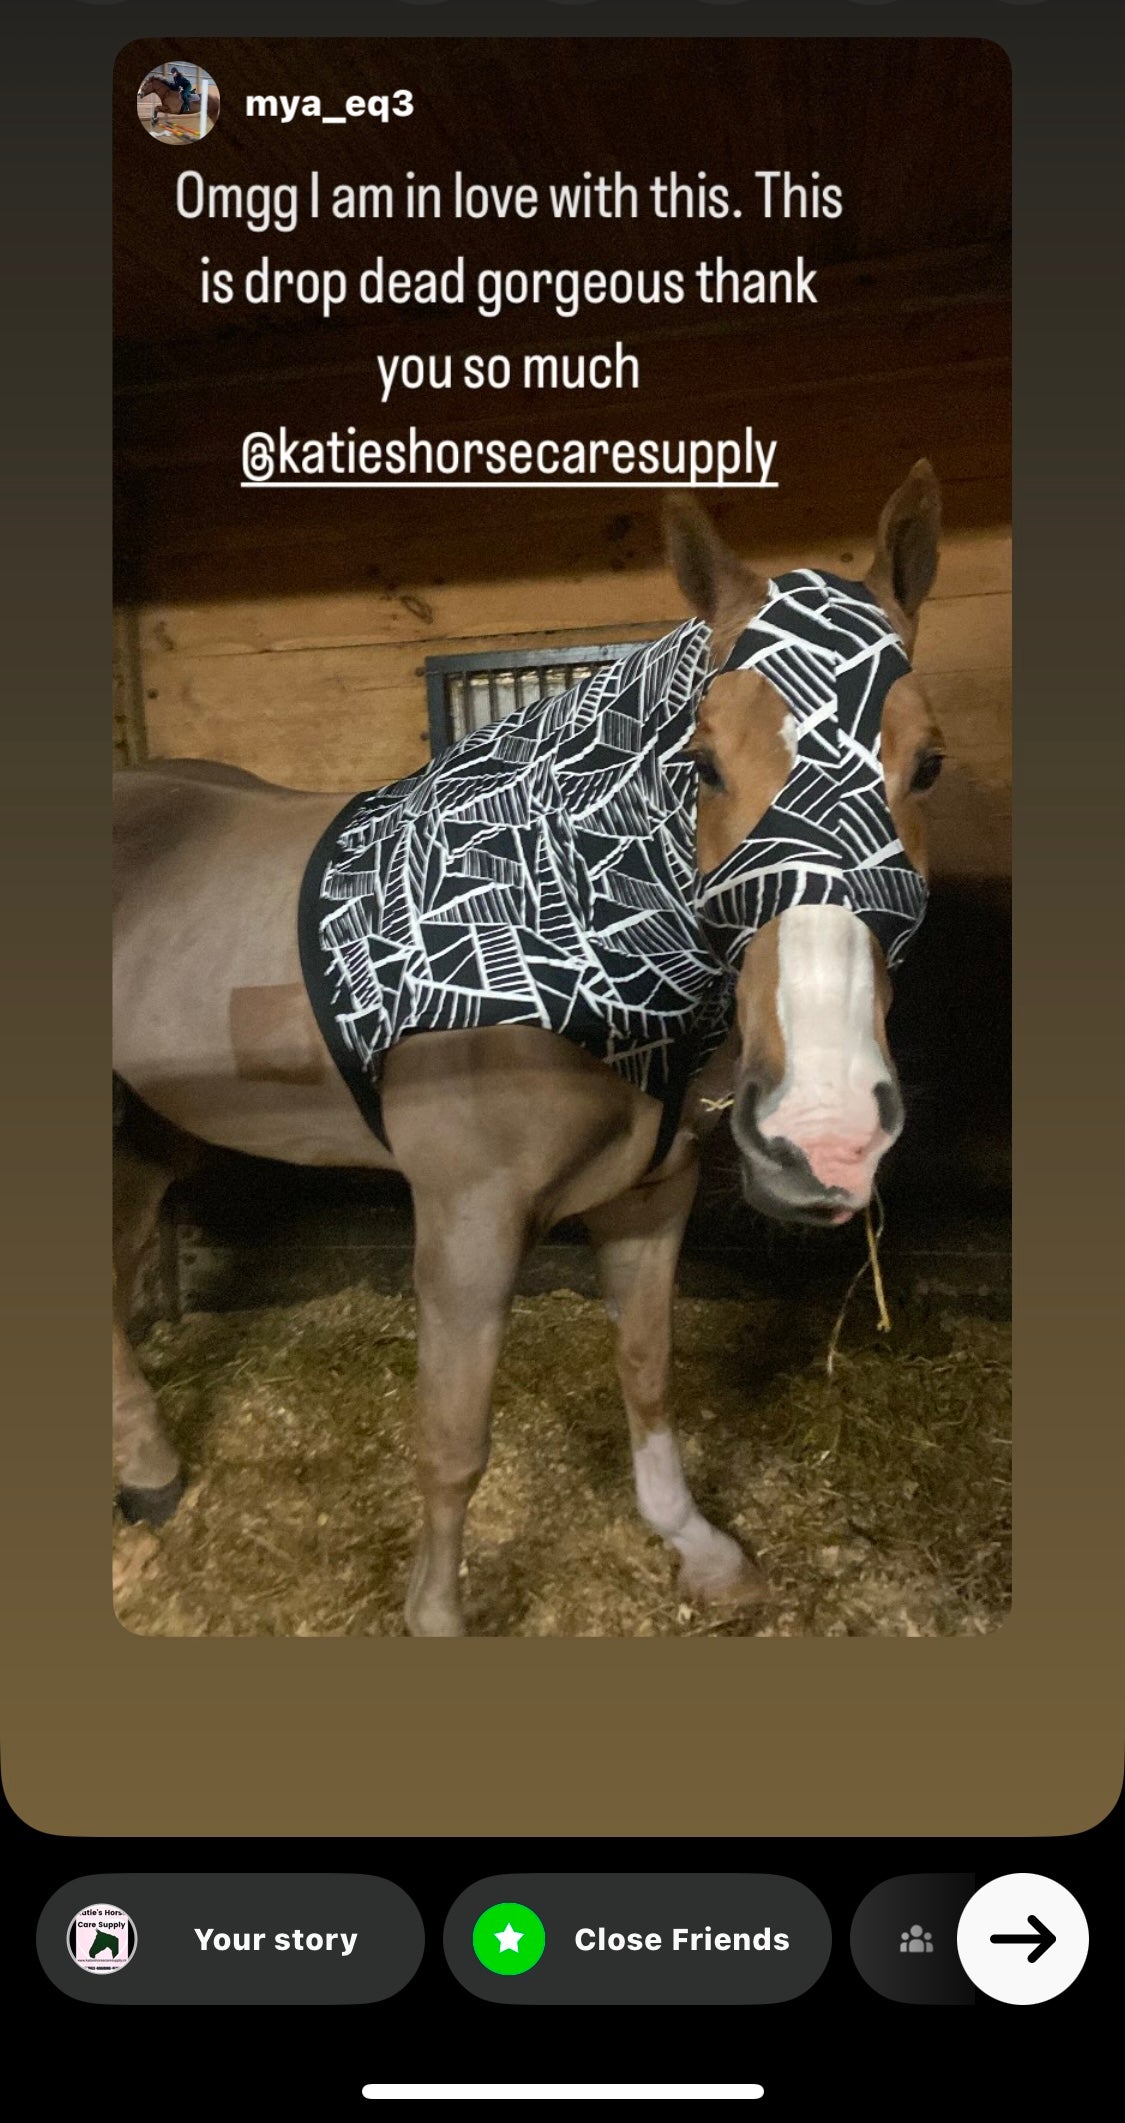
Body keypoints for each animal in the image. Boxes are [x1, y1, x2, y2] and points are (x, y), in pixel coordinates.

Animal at [112, 466, 947, 1637]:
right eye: (702, 764)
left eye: (929, 763)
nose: (823, 1132)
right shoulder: (467, 1223)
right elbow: (454, 1439)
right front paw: (437, 1618)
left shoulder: (651, 1194)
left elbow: (646, 1371)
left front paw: (695, 1544)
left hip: (144, 1136)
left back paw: (148, 1472)